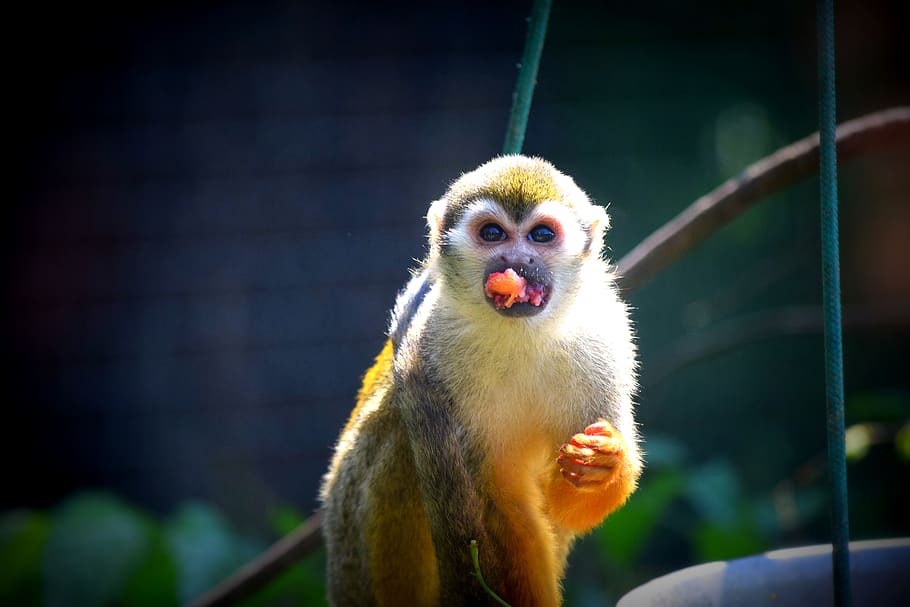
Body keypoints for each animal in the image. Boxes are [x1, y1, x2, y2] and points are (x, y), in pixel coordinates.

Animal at [320, 155, 641, 606]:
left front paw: (600, 465)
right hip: (352, 559)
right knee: (402, 439)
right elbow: (499, 500)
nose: (517, 260)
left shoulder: (605, 339)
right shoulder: (435, 349)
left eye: (541, 235)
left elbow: (567, 507)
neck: (522, 333)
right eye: (492, 233)